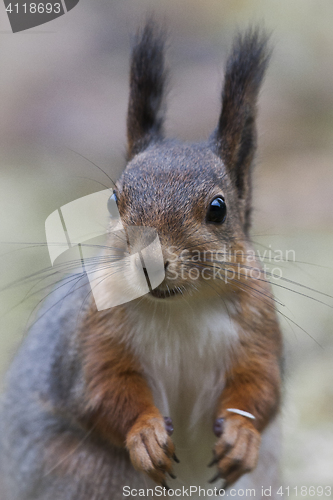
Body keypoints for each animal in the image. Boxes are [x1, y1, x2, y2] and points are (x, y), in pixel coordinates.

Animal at [0, 21, 282, 500]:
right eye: (114, 200)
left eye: (218, 208)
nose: (149, 263)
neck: (182, 308)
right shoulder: (95, 333)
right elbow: (103, 390)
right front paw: (146, 434)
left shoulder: (258, 327)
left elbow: (262, 387)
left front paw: (242, 436)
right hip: (87, 473)